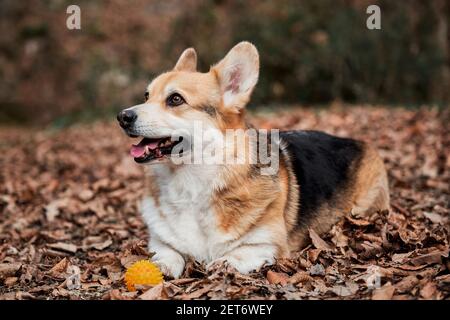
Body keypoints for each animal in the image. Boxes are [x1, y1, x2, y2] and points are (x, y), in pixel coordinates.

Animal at [118, 42, 388, 278]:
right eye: (146, 96)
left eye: (175, 99)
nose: (122, 116)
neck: (192, 182)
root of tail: (357, 141)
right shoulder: (161, 240)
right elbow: (168, 252)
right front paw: (160, 265)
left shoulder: (268, 245)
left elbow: (237, 255)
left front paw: (222, 264)